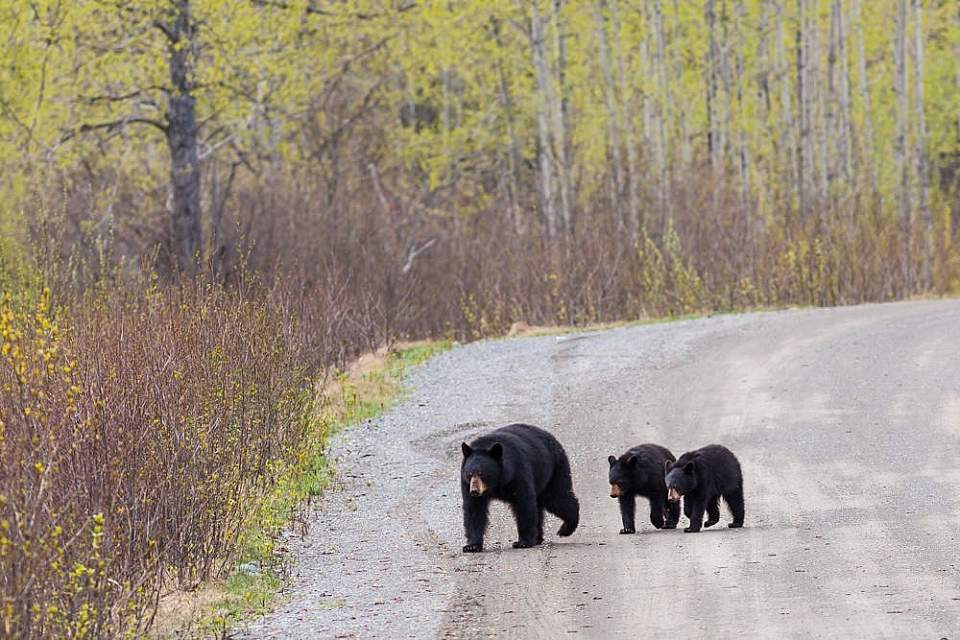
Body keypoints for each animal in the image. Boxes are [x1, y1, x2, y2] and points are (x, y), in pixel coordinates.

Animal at [458, 424, 576, 552]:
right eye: (469, 474)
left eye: (482, 474)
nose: (474, 491)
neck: (497, 483)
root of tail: (552, 438)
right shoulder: (466, 484)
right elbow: (474, 510)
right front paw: (472, 546)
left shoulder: (518, 473)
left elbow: (524, 504)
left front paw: (523, 542)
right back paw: (538, 537)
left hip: (554, 470)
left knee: (558, 498)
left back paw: (566, 529)